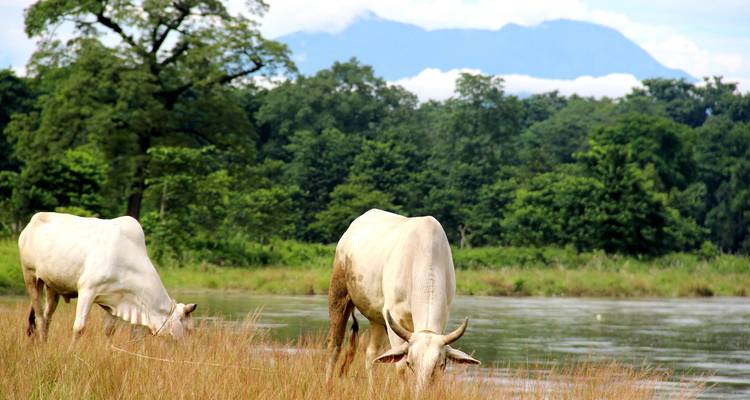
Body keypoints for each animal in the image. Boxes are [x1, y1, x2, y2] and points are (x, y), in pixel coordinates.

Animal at [18, 212, 197, 341]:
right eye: (188, 329)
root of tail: (31, 222)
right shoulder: (87, 290)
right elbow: (79, 327)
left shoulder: (116, 301)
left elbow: (109, 330)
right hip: (31, 277)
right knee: (39, 317)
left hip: (52, 287)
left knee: (47, 316)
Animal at [325, 209, 480, 394]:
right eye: (410, 362)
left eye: (441, 364)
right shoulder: (395, 317)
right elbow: (400, 368)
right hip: (339, 294)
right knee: (334, 345)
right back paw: (328, 385)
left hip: (377, 318)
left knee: (371, 354)